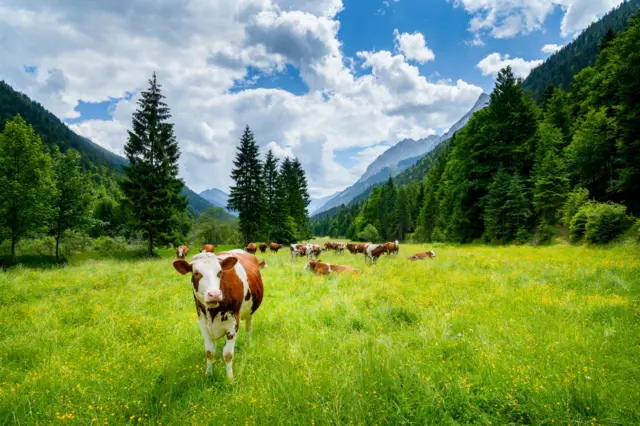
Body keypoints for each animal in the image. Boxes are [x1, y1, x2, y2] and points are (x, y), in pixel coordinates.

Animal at [171, 248, 264, 382]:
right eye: (196, 273)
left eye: (220, 272)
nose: (214, 294)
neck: (212, 312)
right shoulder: (202, 323)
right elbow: (209, 351)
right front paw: (209, 374)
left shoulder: (233, 323)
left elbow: (228, 354)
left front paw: (230, 379)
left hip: (249, 312)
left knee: (248, 327)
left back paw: (248, 342)